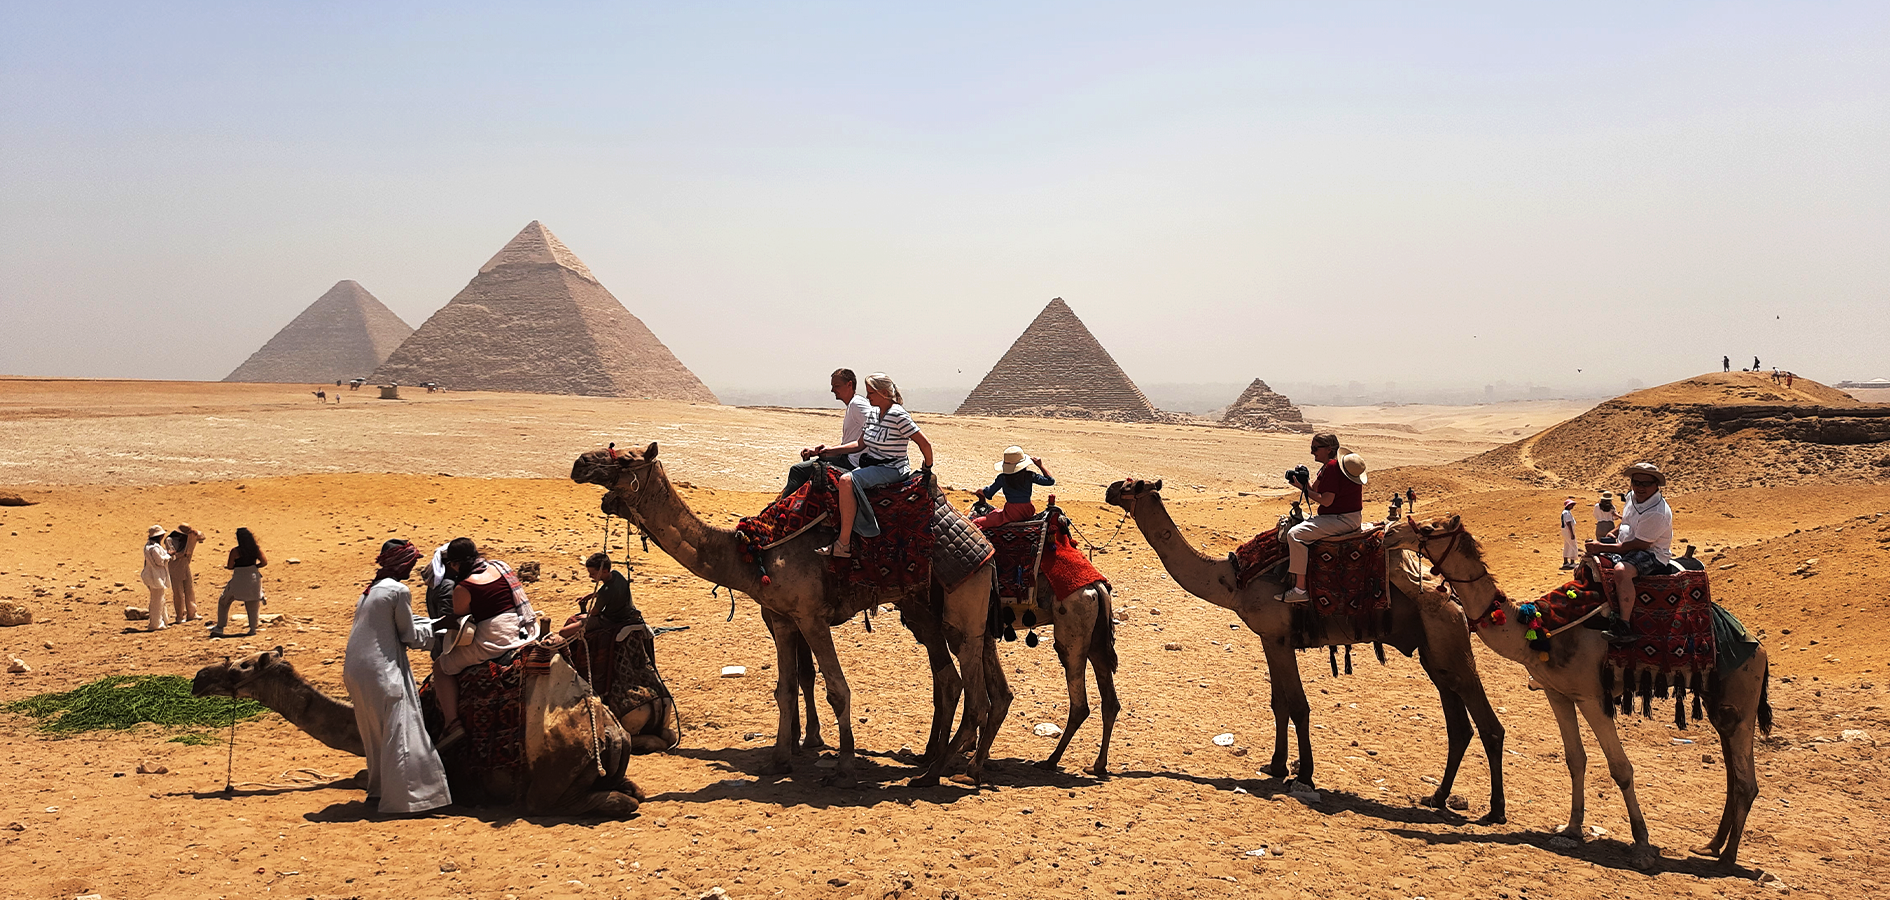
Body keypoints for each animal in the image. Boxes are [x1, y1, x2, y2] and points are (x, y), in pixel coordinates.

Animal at [190, 646, 646, 816]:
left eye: (240, 668)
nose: (198, 679)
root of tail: (609, 733)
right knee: (632, 790)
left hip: (549, 784)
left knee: (591, 802)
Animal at [567, 446, 1013, 782]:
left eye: (626, 458)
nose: (580, 463)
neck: (754, 552)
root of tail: (986, 547)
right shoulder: (781, 618)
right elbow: (785, 688)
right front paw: (781, 757)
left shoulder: (811, 615)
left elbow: (836, 689)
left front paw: (843, 765)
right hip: (925, 610)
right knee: (953, 681)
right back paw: (938, 761)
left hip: (963, 606)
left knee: (970, 684)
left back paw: (939, 771)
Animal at [1103, 482, 1504, 820]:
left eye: (1133, 486)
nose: (1110, 489)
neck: (1232, 579)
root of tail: (1453, 598)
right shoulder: (1269, 638)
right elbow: (1279, 704)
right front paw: (1276, 764)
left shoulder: (1279, 637)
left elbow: (1298, 705)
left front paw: (1305, 774)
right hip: (1435, 655)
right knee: (1459, 728)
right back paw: (1438, 797)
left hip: (1450, 644)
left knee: (1489, 726)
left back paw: (1495, 811)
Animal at [1391, 518, 1769, 869]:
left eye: (1429, 528)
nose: (1391, 532)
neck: (1538, 628)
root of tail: (1758, 647)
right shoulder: (1558, 694)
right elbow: (1576, 759)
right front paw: (1571, 828)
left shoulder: (1591, 697)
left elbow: (1620, 768)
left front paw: (1642, 847)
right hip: (1717, 701)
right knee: (1733, 774)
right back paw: (1711, 846)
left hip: (1739, 696)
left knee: (1746, 781)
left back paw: (1726, 859)